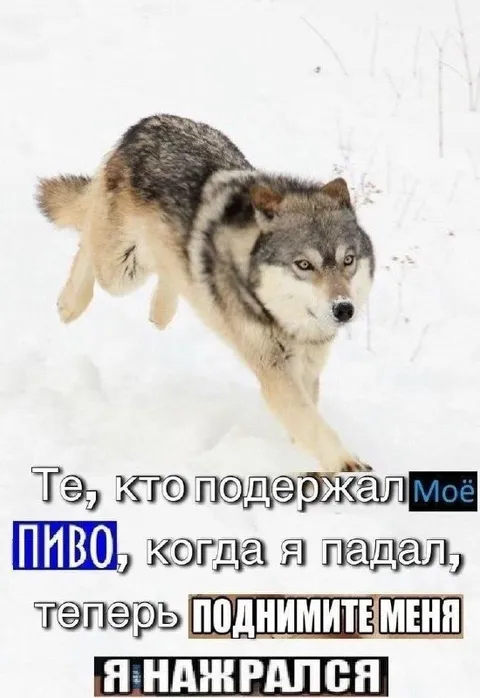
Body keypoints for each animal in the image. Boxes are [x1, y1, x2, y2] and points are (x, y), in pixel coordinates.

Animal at [36, 114, 375, 474]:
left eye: (348, 260)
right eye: (304, 265)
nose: (344, 309)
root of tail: (146, 122)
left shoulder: (308, 371)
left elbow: (306, 425)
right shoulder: (274, 372)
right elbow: (313, 425)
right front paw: (346, 463)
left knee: (165, 270)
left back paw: (160, 312)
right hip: (121, 270)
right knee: (87, 235)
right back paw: (69, 305)